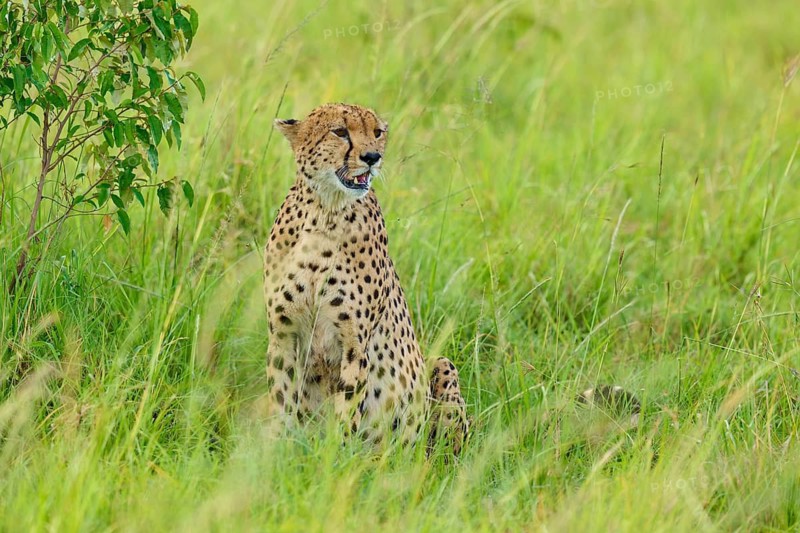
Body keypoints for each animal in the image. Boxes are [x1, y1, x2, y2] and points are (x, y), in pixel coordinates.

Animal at [263, 102, 468, 454]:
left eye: (377, 132)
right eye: (340, 131)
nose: (372, 156)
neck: (325, 210)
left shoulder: (355, 345)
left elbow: (348, 409)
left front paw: (335, 458)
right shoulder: (282, 333)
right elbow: (282, 399)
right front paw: (276, 452)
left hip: (439, 369)